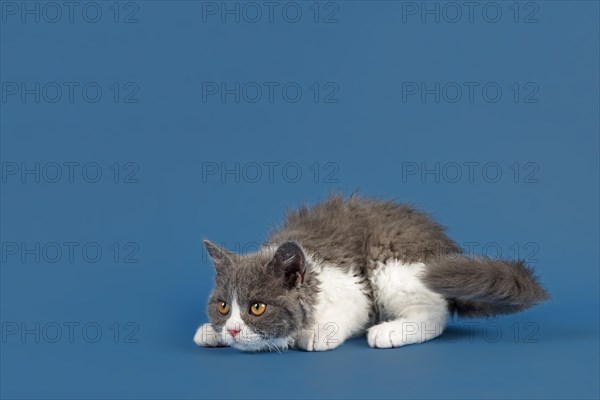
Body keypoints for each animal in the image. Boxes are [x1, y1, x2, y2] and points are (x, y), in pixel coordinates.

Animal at [193, 195, 548, 352]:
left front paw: (315, 334)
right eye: (223, 306)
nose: (233, 330)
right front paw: (211, 331)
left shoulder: (353, 286)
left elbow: (353, 310)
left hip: (390, 262)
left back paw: (390, 331)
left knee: (435, 314)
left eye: (257, 307)